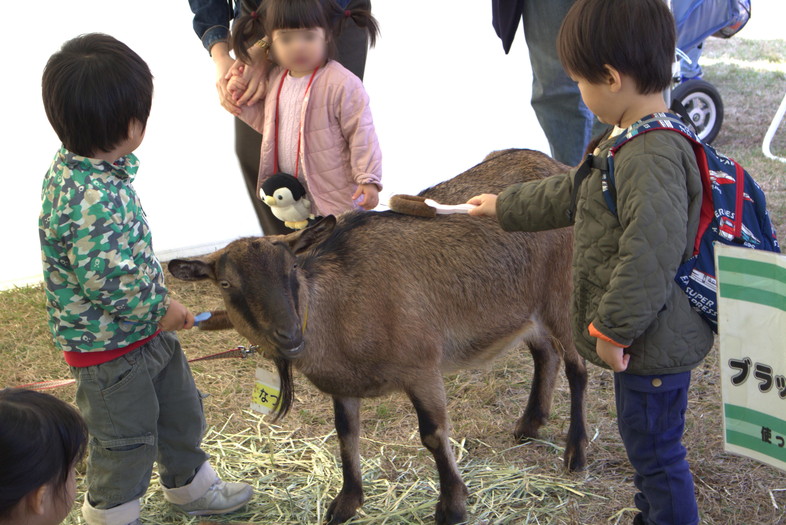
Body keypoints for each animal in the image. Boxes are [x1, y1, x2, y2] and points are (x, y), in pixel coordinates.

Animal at [168, 147, 584, 524]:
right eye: (226, 284)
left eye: (292, 269)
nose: (288, 335)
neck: (340, 308)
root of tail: (560, 166)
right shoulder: (343, 385)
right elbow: (345, 434)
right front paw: (346, 502)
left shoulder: (421, 366)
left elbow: (433, 435)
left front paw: (452, 506)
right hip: (524, 307)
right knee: (545, 354)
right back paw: (529, 424)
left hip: (561, 295)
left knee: (576, 368)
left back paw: (574, 453)